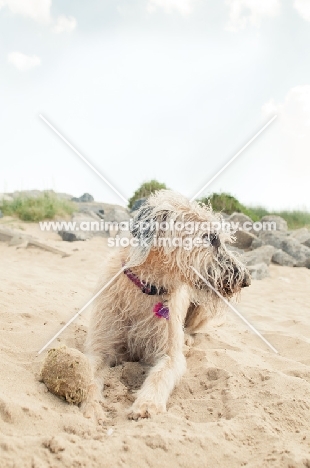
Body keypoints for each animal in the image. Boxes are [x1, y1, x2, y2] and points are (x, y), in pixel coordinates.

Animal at [81, 189, 249, 420]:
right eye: (211, 238)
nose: (247, 280)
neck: (146, 287)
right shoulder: (100, 347)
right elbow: (87, 374)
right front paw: (91, 406)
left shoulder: (170, 354)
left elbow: (161, 373)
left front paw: (147, 404)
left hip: (201, 309)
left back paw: (187, 337)